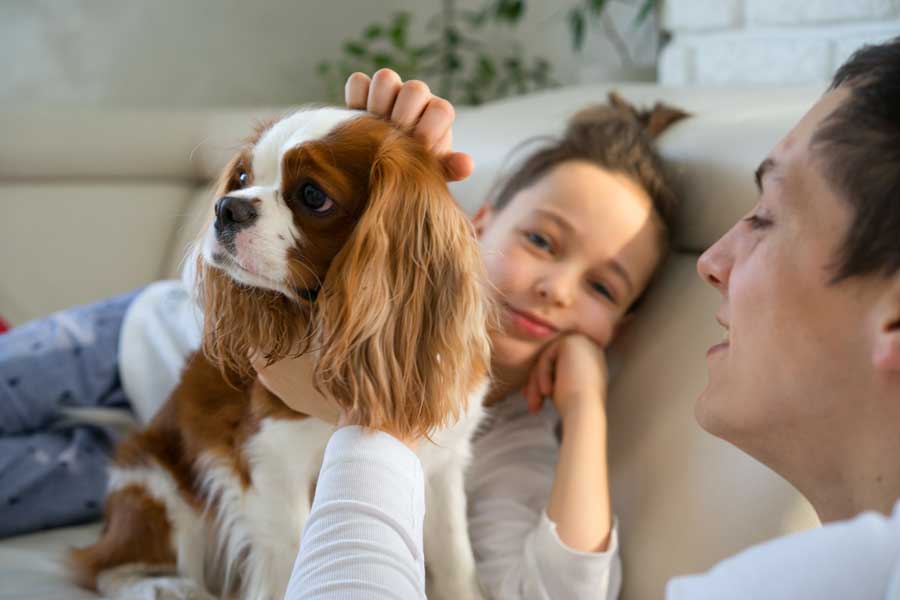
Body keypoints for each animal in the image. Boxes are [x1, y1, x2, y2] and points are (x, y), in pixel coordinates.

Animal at [68, 108, 492, 600]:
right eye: (242, 177)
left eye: (312, 195)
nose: (226, 206)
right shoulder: (271, 462)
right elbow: (292, 559)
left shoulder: (441, 469)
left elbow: (455, 559)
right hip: (158, 487)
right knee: (107, 566)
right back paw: (164, 586)